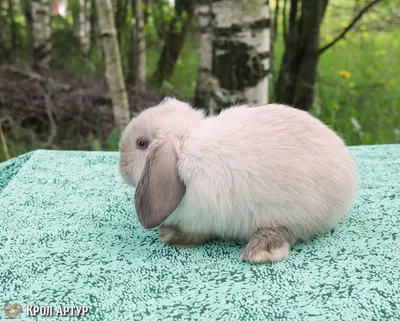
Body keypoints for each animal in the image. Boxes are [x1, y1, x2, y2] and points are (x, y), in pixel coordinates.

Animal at [119, 97, 360, 262]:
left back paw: (261, 250)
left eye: (141, 143)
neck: (185, 147)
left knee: (286, 233)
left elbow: (194, 233)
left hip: (292, 214)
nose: (122, 168)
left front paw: (169, 235)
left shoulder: (199, 217)